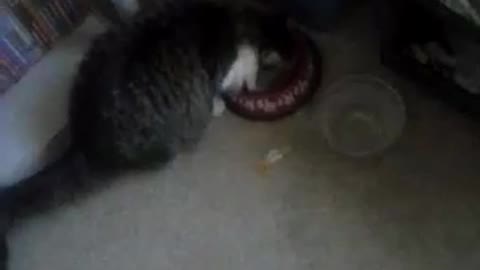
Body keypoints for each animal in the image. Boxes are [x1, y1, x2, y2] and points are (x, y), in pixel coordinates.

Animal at [0, 1, 290, 268]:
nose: (282, 59)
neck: (240, 20)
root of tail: (85, 141)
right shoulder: (222, 67)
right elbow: (227, 82)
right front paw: (224, 101)